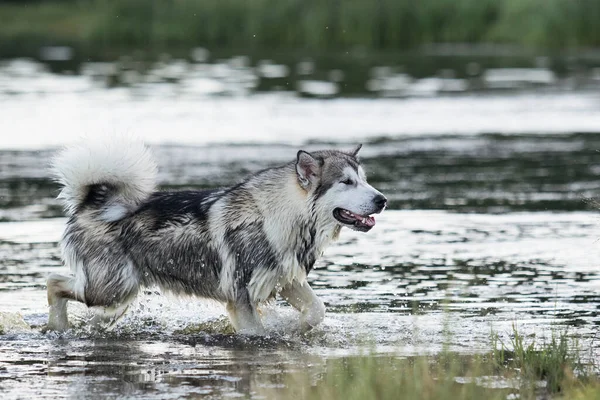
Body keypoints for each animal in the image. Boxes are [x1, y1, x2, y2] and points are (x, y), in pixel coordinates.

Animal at [44, 141, 386, 334]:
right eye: (346, 182)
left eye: (364, 180)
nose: (382, 200)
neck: (281, 217)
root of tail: (92, 203)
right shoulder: (241, 298)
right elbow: (257, 333)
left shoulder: (286, 279)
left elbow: (317, 311)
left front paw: (292, 326)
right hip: (111, 289)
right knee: (53, 282)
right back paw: (58, 325)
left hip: (118, 299)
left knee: (92, 315)